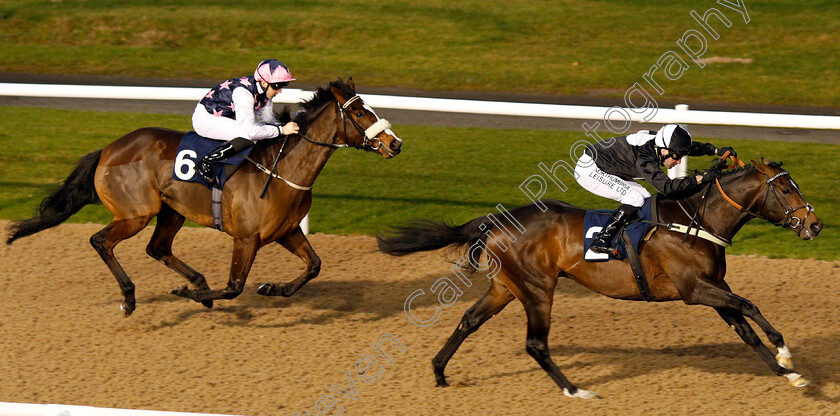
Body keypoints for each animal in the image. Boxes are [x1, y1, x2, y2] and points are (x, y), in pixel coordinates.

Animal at [4, 78, 402, 316]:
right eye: (358, 112)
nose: (395, 143)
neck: (282, 170)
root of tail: (108, 149)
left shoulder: (286, 231)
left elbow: (314, 265)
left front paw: (272, 287)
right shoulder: (247, 238)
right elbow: (234, 287)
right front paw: (189, 294)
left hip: (171, 211)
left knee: (157, 248)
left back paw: (196, 282)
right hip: (136, 213)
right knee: (101, 241)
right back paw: (131, 297)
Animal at [382, 158, 828, 398]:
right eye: (786, 190)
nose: (816, 225)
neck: (695, 221)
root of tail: (496, 221)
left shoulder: (714, 288)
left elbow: (746, 328)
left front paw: (789, 374)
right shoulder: (695, 290)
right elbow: (751, 306)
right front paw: (786, 356)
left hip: (506, 287)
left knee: (468, 320)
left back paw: (439, 372)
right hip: (538, 289)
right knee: (535, 344)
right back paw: (576, 390)